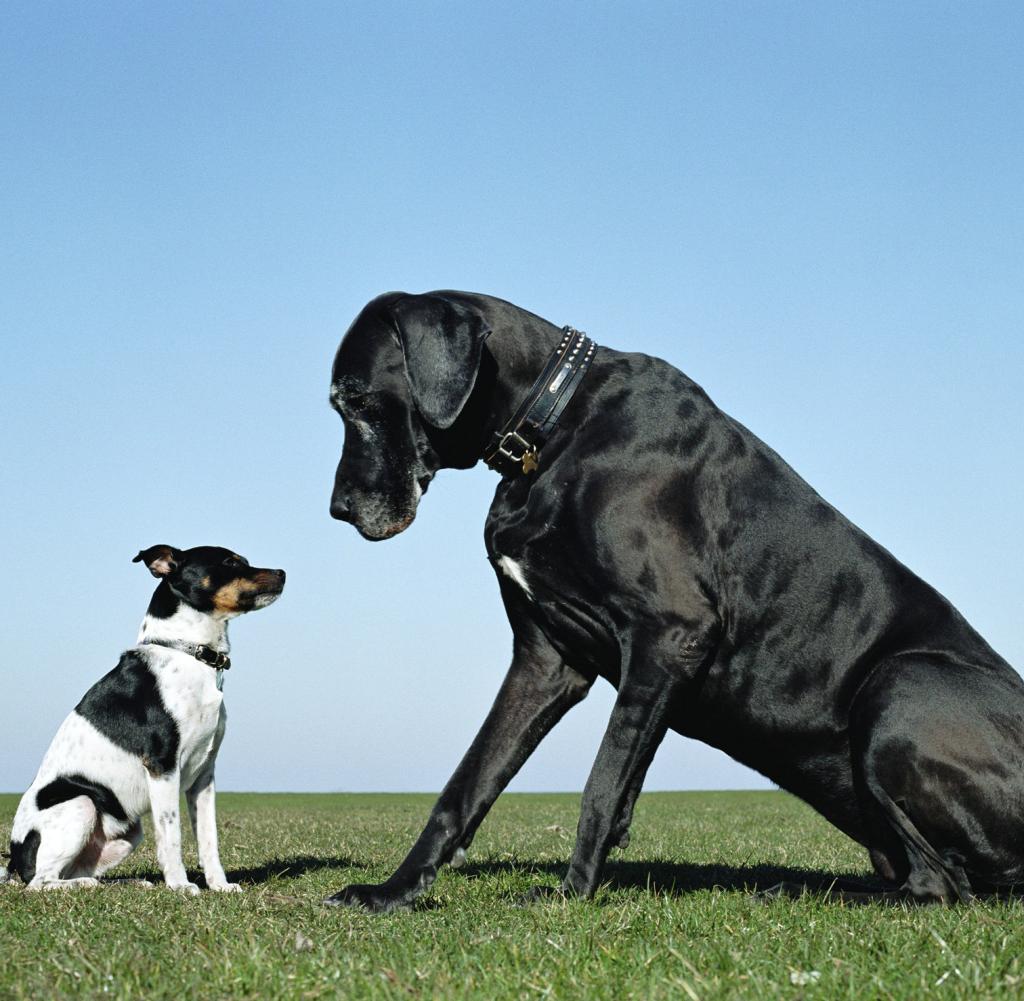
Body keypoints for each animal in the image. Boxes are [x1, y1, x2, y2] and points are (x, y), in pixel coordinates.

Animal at [1, 544, 284, 888]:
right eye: (229, 562)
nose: (283, 573)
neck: (189, 654)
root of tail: (14, 861)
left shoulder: (204, 774)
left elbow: (208, 839)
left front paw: (219, 886)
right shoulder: (163, 765)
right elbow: (171, 835)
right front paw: (180, 886)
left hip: (128, 833)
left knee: (76, 871)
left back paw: (126, 884)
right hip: (81, 804)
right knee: (41, 882)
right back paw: (86, 885)